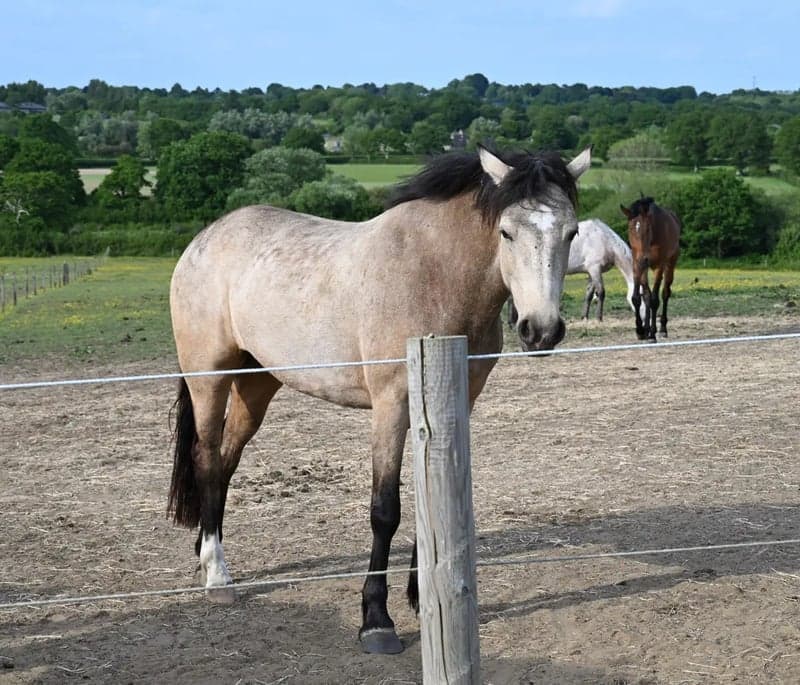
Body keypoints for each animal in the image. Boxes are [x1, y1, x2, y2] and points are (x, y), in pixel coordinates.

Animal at [167, 144, 591, 655]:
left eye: (571, 232)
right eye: (506, 232)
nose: (541, 331)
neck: (434, 275)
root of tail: (204, 240)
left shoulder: (456, 405)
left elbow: (432, 496)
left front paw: (424, 596)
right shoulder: (390, 407)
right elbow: (385, 510)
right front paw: (376, 619)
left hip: (258, 383)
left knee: (226, 461)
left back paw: (205, 553)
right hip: (209, 378)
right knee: (207, 457)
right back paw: (217, 575)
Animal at [507, 217, 637, 328]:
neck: (604, 239)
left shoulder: (590, 272)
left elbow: (589, 294)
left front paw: (584, 317)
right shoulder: (595, 269)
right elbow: (601, 291)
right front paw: (599, 318)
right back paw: (512, 323)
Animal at [620, 196, 681, 340]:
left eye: (647, 228)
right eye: (630, 228)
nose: (643, 258)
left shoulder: (659, 266)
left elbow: (654, 299)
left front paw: (652, 333)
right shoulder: (638, 265)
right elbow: (638, 298)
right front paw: (641, 330)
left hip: (670, 264)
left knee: (665, 293)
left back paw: (662, 329)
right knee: (647, 295)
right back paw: (647, 329)